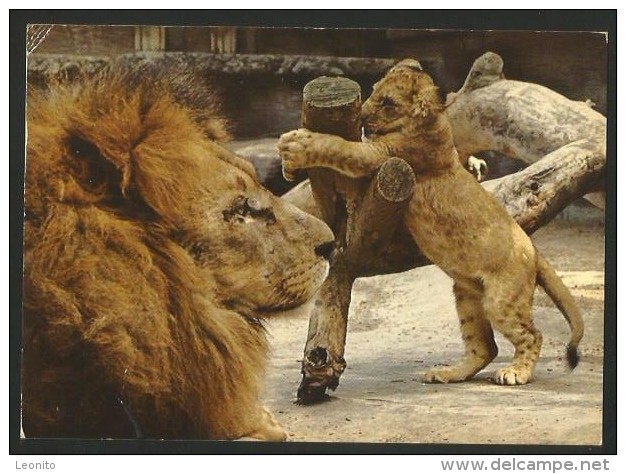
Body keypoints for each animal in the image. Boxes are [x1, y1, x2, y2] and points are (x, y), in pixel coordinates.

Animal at [278, 59, 580, 386]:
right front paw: (289, 166)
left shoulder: (382, 155)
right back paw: (447, 373)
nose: (363, 117)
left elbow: (338, 147)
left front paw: (295, 146)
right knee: (485, 347)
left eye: (387, 103)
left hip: (502, 299)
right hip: (467, 296)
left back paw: (516, 373)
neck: (436, 126)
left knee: (532, 335)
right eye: (374, 91)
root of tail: (533, 251)